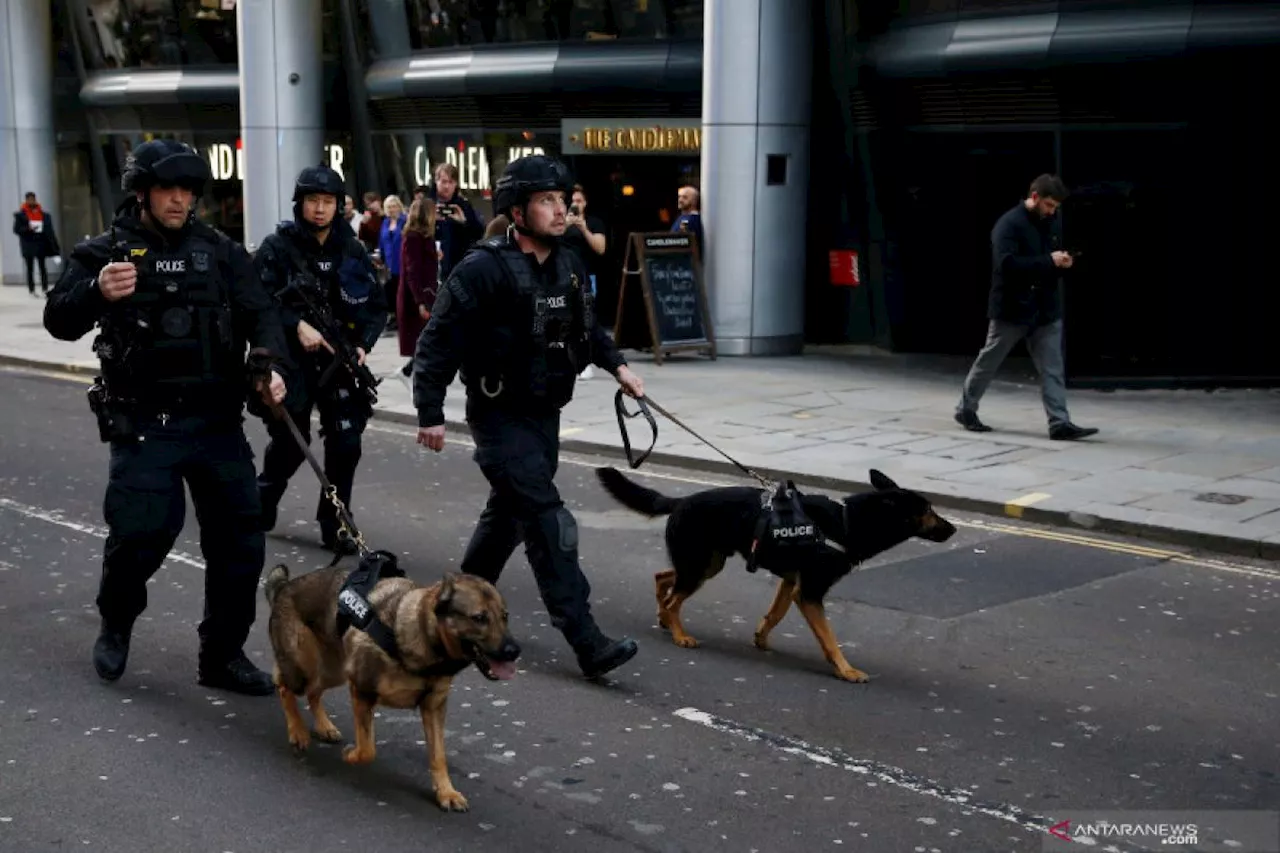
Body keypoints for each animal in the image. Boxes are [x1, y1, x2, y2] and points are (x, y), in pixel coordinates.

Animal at [44, 137, 290, 691]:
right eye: (167, 189)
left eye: (184, 188)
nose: (181, 202)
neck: (163, 238)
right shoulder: (88, 258)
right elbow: (58, 309)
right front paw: (107, 283)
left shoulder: (236, 262)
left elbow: (257, 307)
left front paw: (271, 379)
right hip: (145, 467)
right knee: (142, 526)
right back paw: (111, 643)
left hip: (222, 459)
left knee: (236, 534)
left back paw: (224, 661)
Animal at [252, 166, 386, 555]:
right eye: (314, 198)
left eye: (327, 199)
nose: (323, 209)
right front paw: (309, 334)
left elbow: (375, 305)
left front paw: (337, 527)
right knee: (286, 444)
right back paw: (262, 509)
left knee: (342, 436)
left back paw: (337, 529)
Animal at [414, 156, 645, 676]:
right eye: (547, 198)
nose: (563, 211)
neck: (534, 252)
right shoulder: (470, 279)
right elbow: (439, 337)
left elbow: (598, 337)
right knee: (529, 507)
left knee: (504, 513)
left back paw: (472, 581)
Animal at [593, 466, 957, 676]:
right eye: (927, 510)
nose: (953, 529)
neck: (847, 523)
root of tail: (680, 501)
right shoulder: (809, 592)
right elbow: (830, 637)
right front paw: (845, 669)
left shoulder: (792, 584)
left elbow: (775, 614)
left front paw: (761, 638)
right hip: (700, 566)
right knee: (673, 598)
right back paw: (679, 633)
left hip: (707, 564)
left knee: (664, 580)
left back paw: (666, 620)